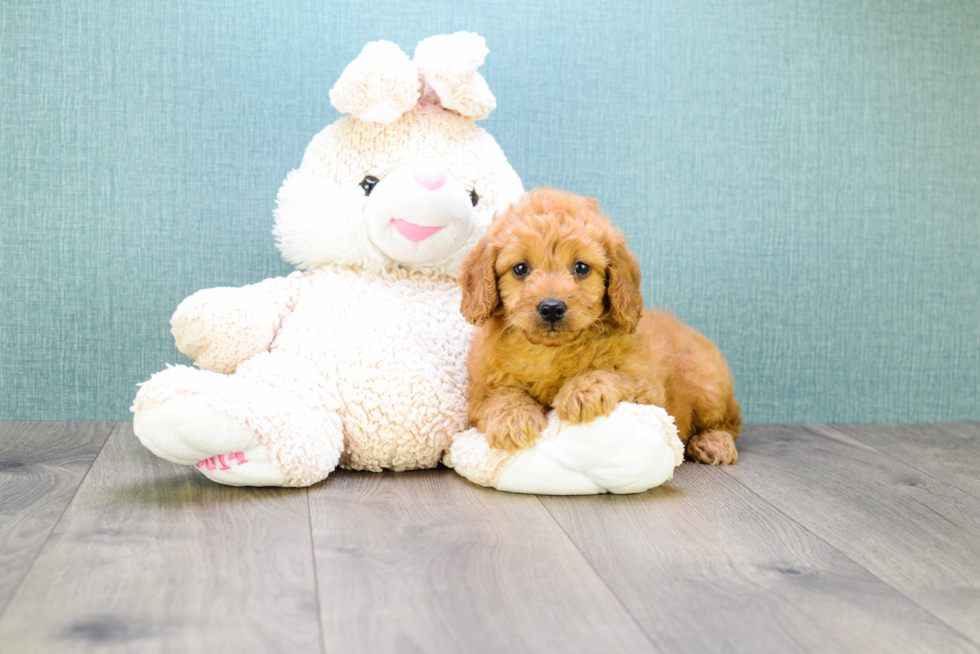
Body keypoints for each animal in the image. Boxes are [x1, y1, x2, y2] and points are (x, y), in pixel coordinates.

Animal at [460, 190, 744, 466]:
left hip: (708, 384)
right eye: (520, 268)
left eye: (581, 267)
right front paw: (512, 419)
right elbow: (500, 395)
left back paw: (713, 442)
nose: (551, 308)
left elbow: (611, 373)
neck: (551, 351)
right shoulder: (481, 389)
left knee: (730, 423)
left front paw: (581, 390)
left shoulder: (648, 387)